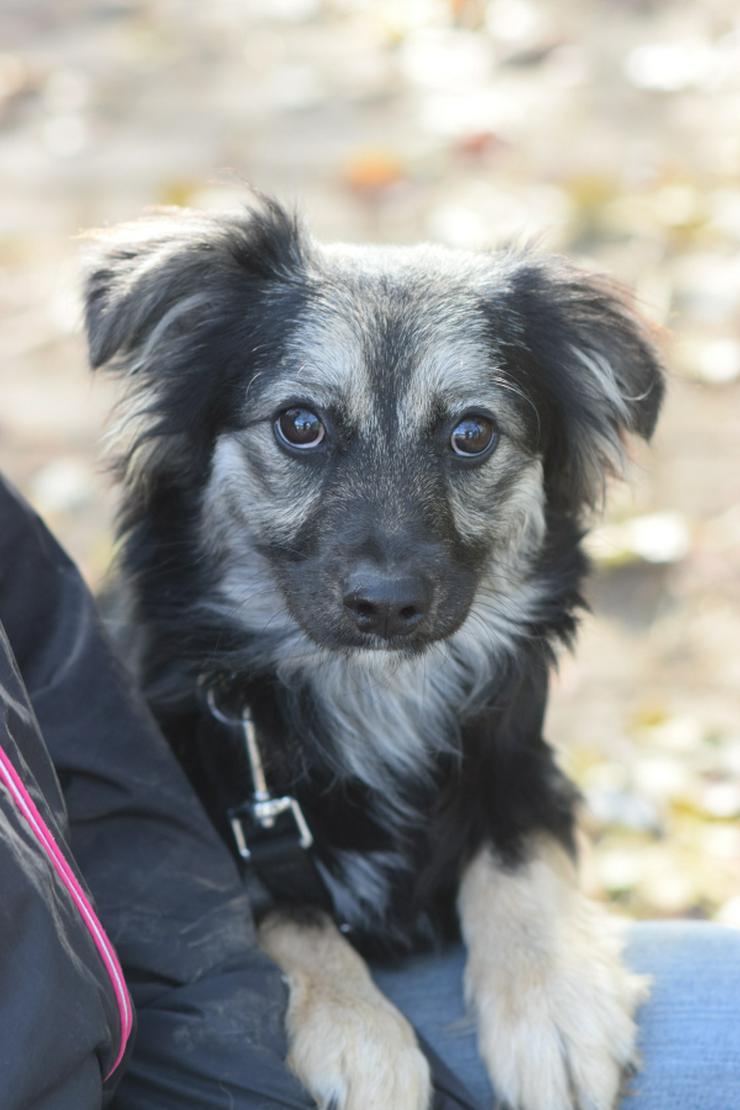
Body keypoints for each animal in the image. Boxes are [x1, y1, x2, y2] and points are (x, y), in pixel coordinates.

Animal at [85, 199, 665, 1110]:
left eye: (472, 433)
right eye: (300, 424)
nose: (387, 604)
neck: (372, 690)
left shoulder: (520, 761)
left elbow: (516, 851)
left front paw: (554, 1004)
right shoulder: (210, 824)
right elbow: (276, 912)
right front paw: (359, 1032)